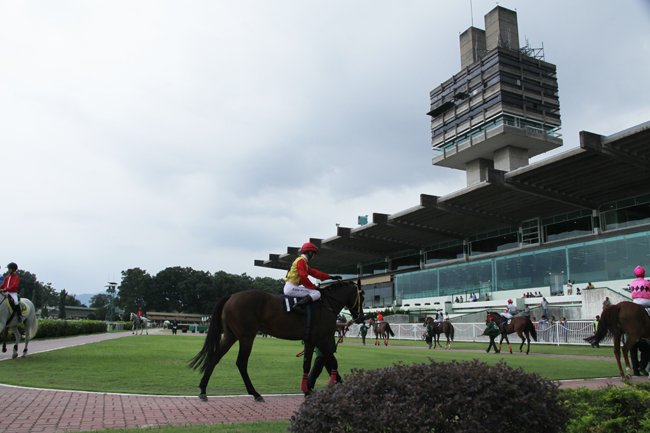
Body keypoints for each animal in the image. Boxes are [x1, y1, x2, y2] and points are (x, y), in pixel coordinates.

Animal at [188, 280, 364, 401]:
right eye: (362, 296)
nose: (360, 317)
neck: (326, 304)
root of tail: (232, 296)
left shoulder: (318, 340)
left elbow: (326, 362)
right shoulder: (318, 339)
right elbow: (318, 363)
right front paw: (310, 389)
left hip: (231, 336)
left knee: (215, 357)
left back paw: (203, 390)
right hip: (246, 337)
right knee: (241, 362)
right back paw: (255, 393)